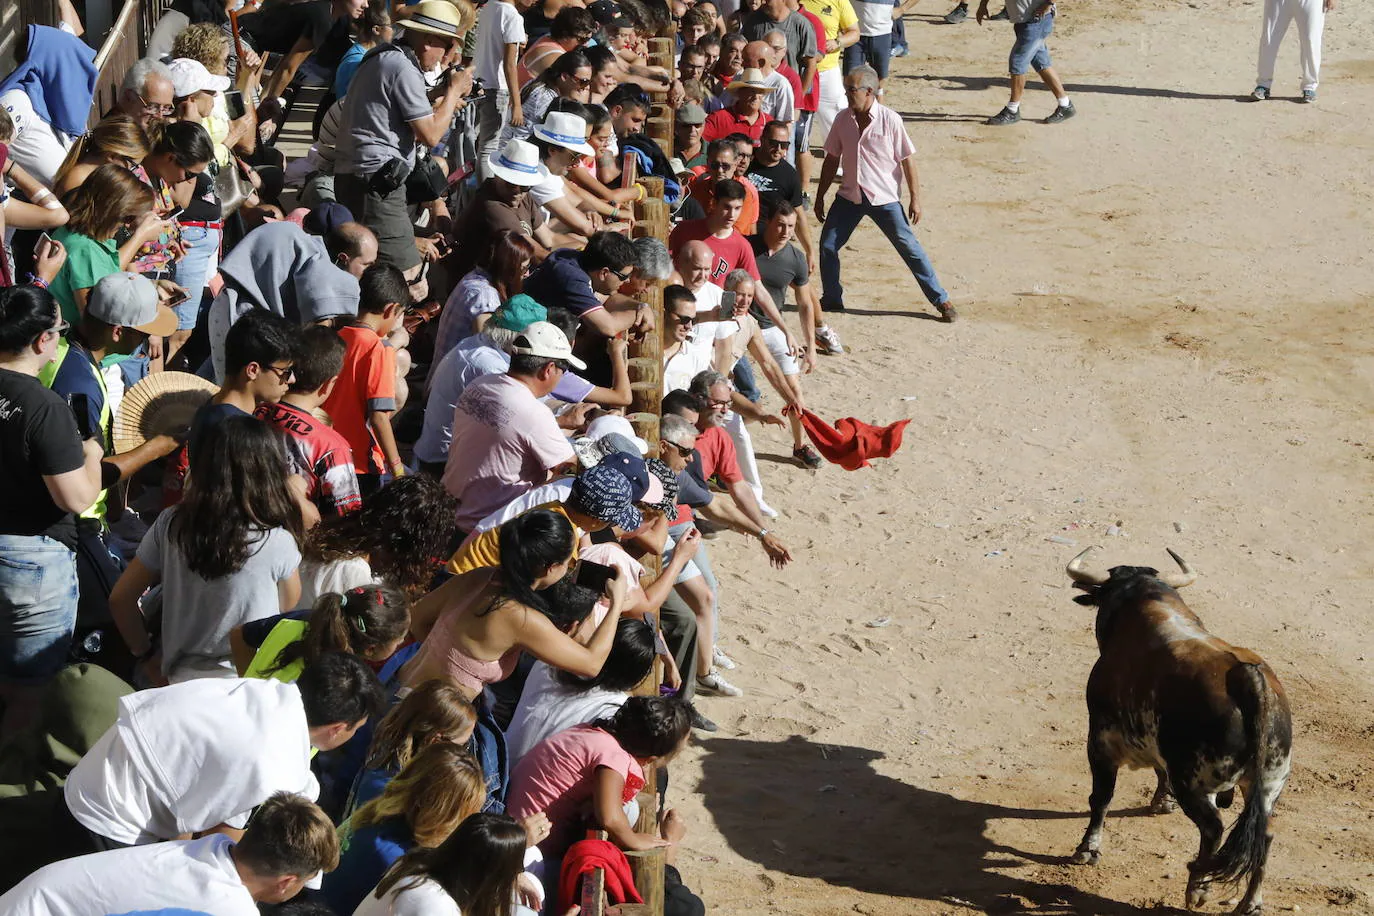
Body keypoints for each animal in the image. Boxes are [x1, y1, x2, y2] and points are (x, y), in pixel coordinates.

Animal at [1060, 549, 1297, 911]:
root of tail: (1245, 675)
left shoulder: (1099, 739)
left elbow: (1101, 797)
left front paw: (1087, 849)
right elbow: (1159, 771)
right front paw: (1162, 801)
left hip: (1196, 782)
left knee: (1213, 828)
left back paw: (1197, 888)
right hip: (1269, 783)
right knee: (1265, 834)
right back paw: (1250, 903)